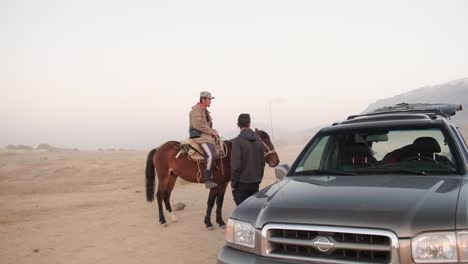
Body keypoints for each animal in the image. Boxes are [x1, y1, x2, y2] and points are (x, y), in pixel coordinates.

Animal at [144, 129, 280, 228]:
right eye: (264, 141)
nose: (276, 161)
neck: (228, 156)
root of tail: (158, 148)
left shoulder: (223, 184)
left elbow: (219, 202)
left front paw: (220, 221)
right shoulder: (215, 185)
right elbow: (211, 202)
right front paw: (208, 223)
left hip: (172, 176)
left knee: (166, 195)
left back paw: (172, 216)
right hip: (164, 177)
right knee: (159, 195)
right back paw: (162, 220)